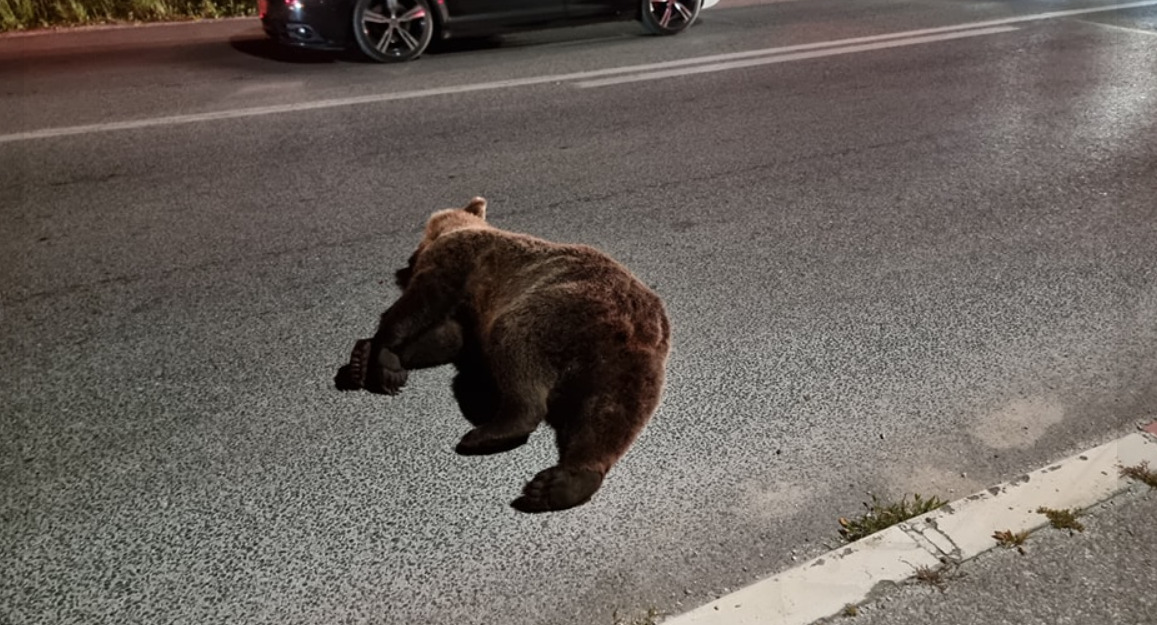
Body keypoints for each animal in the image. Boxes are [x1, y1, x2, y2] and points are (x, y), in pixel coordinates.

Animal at [335, 196, 671, 511]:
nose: (409, 259)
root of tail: (629, 327)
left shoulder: (460, 259)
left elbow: (422, 301)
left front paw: (382, 357)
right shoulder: (469, 313)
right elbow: (448, 337)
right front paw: (362, 359)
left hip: (555, 310)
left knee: (516, 351)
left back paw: (491, 432)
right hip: (630, 367)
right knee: (611, 414)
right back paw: (567, 481)